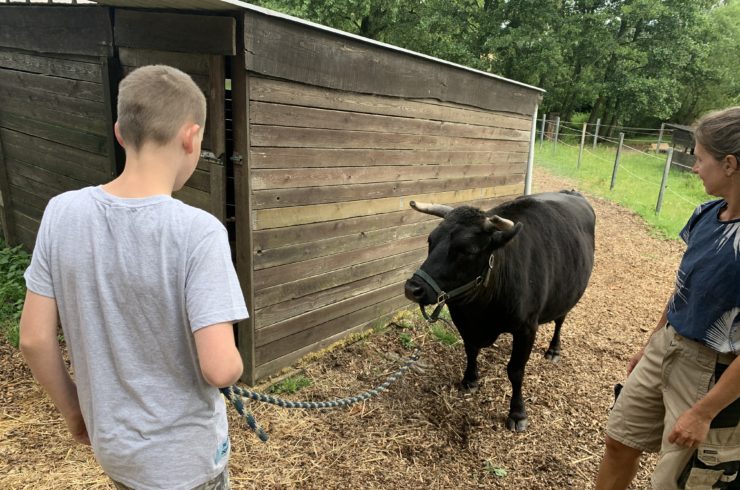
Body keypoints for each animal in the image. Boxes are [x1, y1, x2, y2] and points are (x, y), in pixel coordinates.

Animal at [404, 190, 595, 432]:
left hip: (568, 295)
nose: (413, 288)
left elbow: (515, 370)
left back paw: (554, 350)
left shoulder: (526, 328)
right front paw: (470, 379)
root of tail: (571, 192)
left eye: (467, 250)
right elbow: (471, 350)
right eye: (430, 240)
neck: (480, 312)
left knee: (560, 321)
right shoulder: (463, 320)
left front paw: (517, 413)